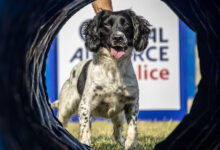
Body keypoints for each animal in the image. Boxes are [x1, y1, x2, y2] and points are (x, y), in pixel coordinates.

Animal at [51, 9, 150, 150]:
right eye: (107, 25)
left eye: (126, 24)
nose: (118, 37)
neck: (113, 69)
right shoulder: (85, 105)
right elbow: (85, 130)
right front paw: (85, 143)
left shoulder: (132, 103)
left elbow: (132, 128)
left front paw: (130, 144)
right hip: (66, 107)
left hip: (117, 115)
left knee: (117, 131)